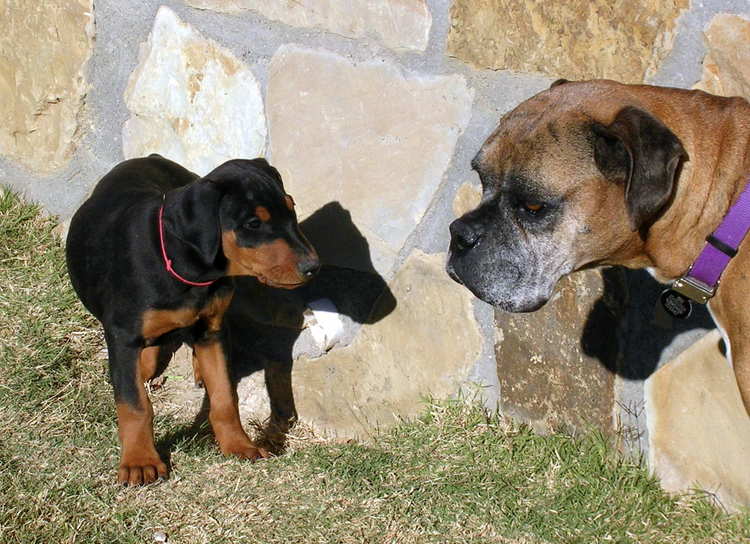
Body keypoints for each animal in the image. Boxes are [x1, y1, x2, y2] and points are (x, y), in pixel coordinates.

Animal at [65, 153, 320, 484]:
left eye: (292, 208)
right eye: (253, 223)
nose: (313, 267)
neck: (190, 270)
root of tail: (151, 156)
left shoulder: (211, 330)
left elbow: (225, 396)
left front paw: (238, 444)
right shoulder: (122, 336)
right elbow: (135, 405)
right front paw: (140, 461)